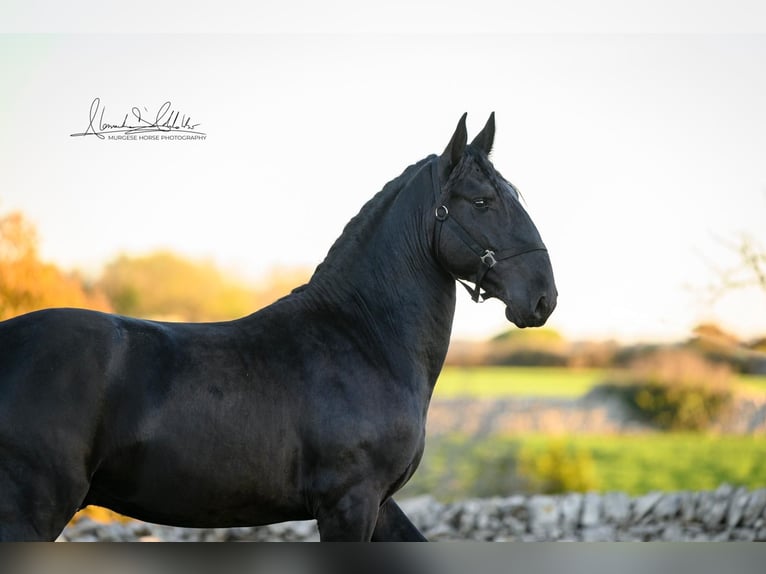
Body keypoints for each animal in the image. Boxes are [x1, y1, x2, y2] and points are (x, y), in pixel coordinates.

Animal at [0, 115, 560, 544]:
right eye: (482, 201)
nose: (543, 297)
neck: (363, 339)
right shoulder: (349, 503)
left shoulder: (380, 504)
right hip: (33, 511)